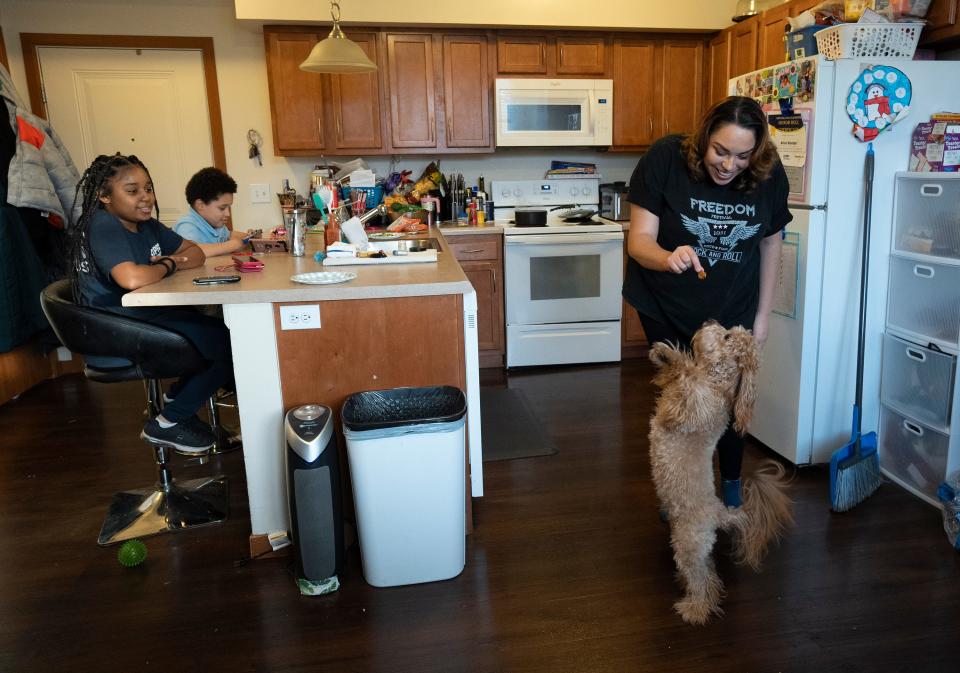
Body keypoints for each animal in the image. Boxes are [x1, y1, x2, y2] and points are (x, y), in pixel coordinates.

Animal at [644, 322, 796, 624]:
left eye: (726, 336)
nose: (708, 323)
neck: (715, 381)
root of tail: (719, 512)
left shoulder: (693, 408)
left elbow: (687, 384)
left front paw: (679, 362)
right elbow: (675, 374)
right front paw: (666, 355)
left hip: (688, 543)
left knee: (702, 580)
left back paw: (696, 609)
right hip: (692, 544)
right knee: (708, 573)